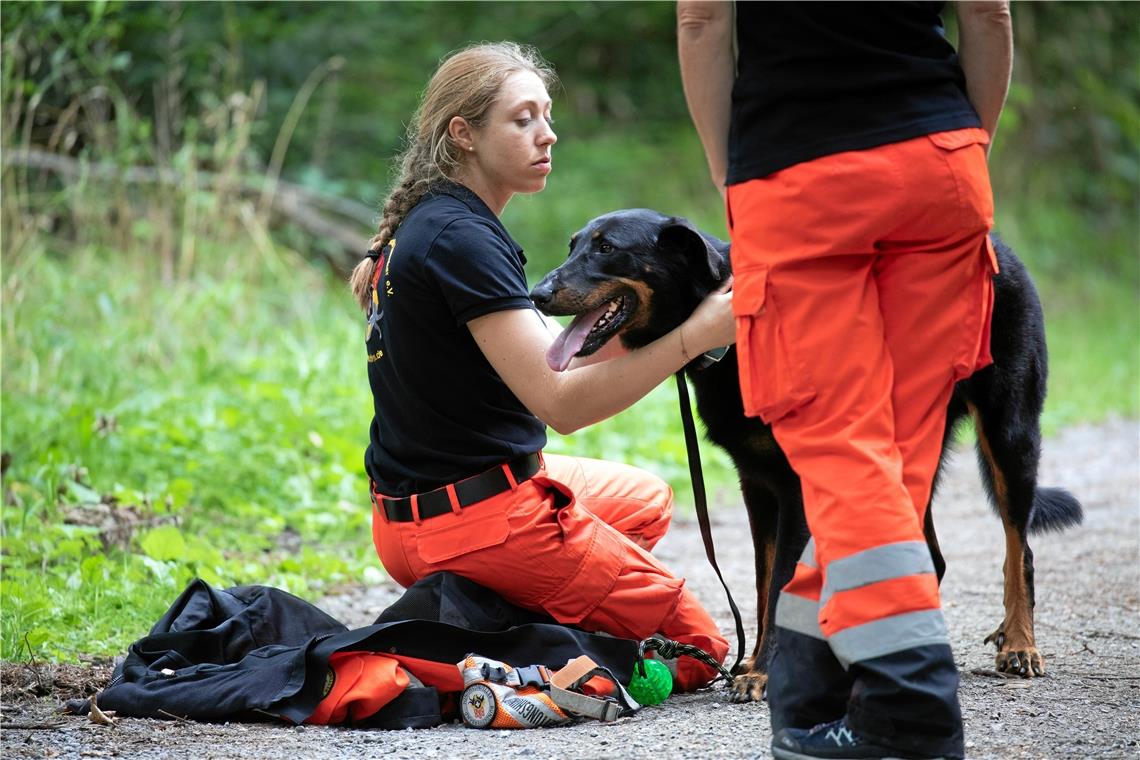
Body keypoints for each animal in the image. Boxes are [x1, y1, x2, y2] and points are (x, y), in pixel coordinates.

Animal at [528, 208, 1080, 701]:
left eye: (606, 247)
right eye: (574, 244)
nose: (536, 293)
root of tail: (998, 246)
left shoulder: (795, 486)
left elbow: (780, 588)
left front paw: (763, 673)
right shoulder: (757, 484)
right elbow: (762, 584)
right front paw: (756, 661)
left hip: (1009, 434)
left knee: (1019, 547)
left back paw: (1019, 644)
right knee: (932, 556)